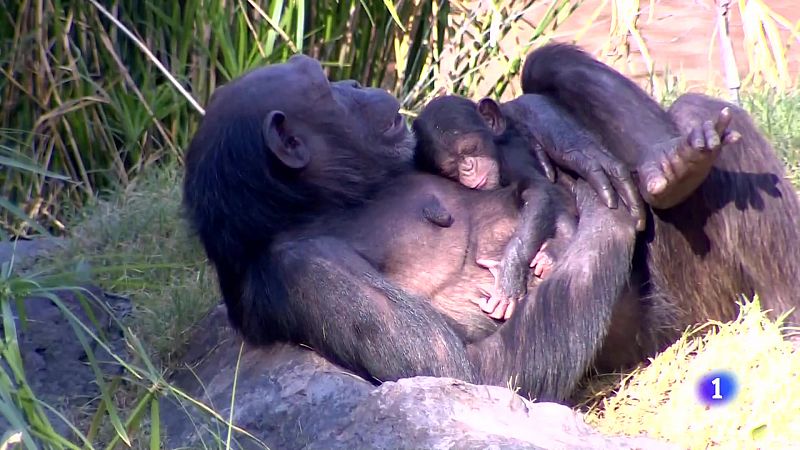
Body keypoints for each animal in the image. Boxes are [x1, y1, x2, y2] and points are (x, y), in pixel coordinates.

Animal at [181, 44, 800, 402]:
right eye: (324, 88)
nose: (352, 84)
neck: (338, 201)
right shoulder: (305, 270)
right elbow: (463, 370)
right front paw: (596, 209)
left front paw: (557, 134)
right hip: (691, 316)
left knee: (695, 118)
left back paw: (672, 164)